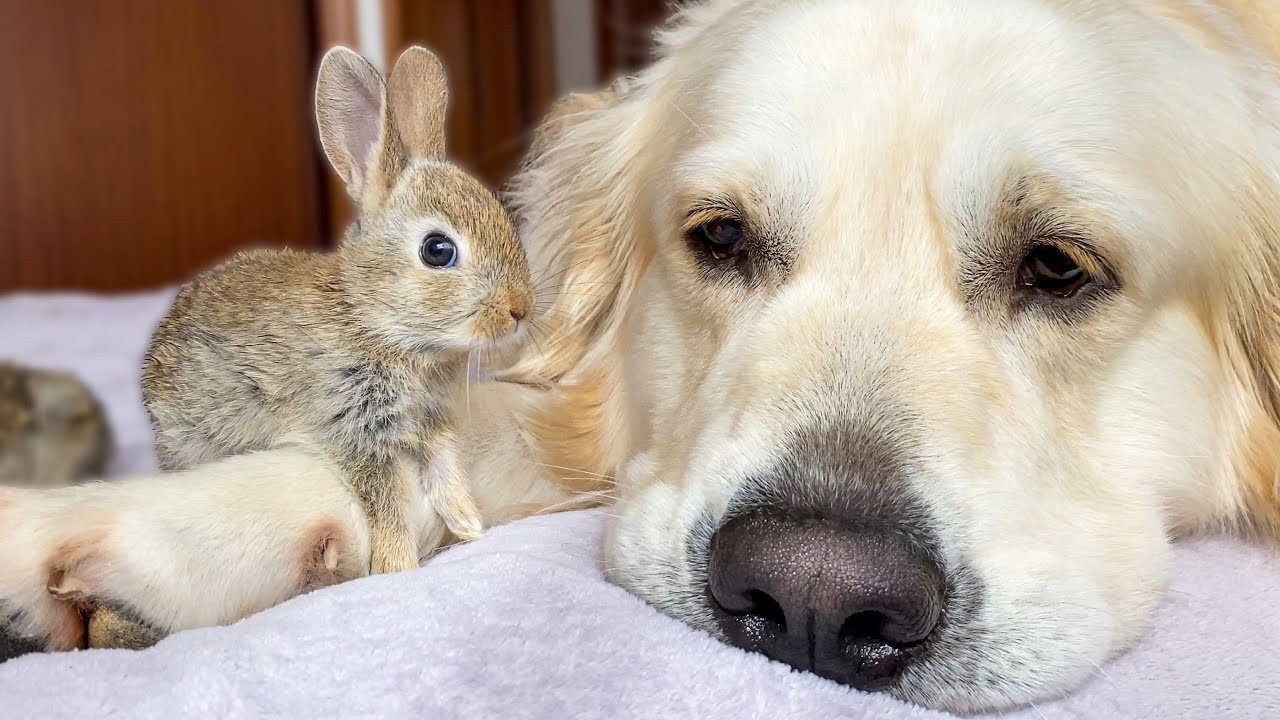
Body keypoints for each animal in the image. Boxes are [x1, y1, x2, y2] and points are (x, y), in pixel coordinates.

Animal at [141, 44, 535, 571]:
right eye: (438, 251)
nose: (520, 310)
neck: (373, 319)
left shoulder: (429, 423)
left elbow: (444, 468)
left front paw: (469, 525)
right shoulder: (353, 428)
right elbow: (387, 502)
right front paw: (398, 565)